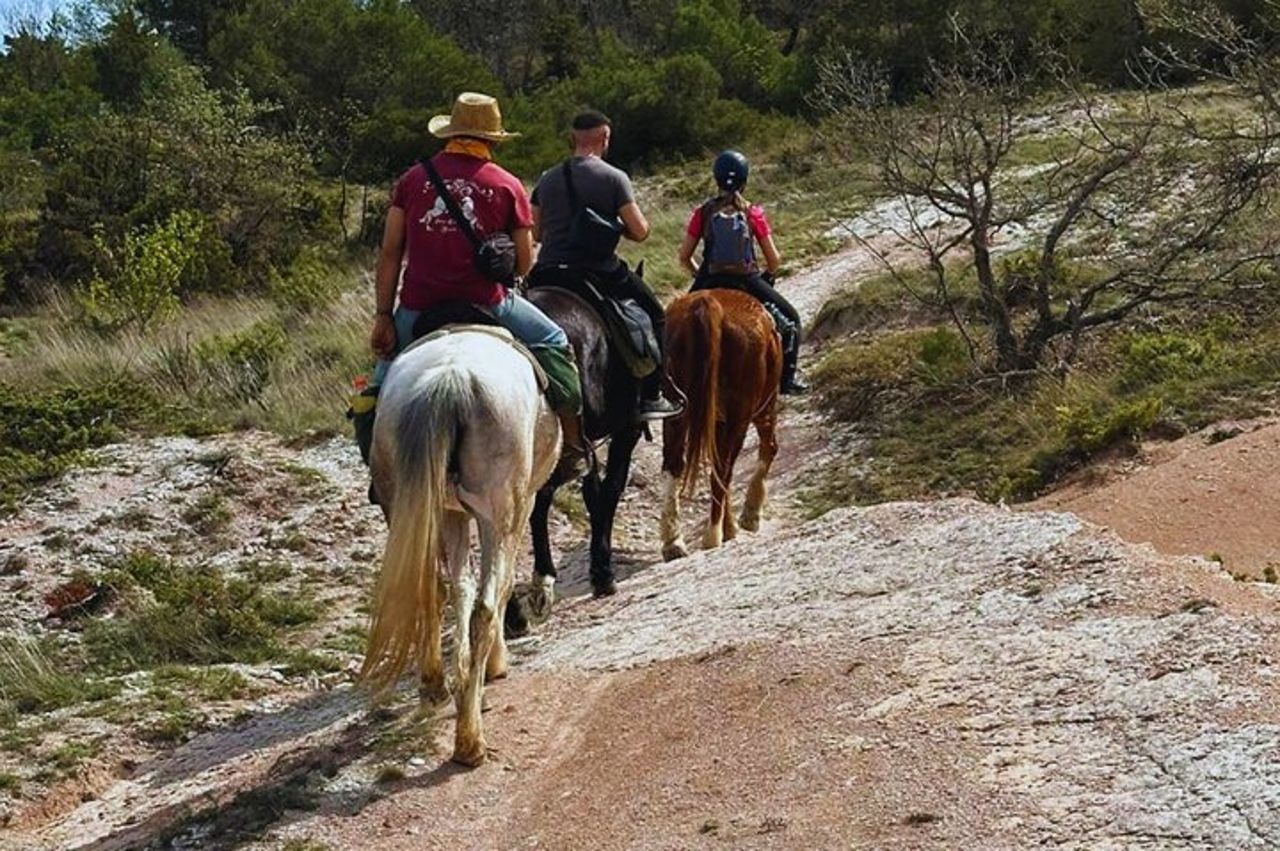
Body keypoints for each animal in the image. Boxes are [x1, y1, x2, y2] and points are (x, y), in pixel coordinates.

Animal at [361, 329, 561, 767]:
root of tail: (448, 380)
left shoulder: (451, 514)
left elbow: (459, 586)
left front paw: (464, 672)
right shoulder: (520, 507)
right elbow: (496, 589)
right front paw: (491, 667)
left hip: (409, 505)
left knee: (427, 588)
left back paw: (436, 686)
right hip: (500, 511)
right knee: (486, 605)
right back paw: (469, 739)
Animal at [660, 288, 782, 559]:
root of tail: (708, 305)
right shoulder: (763, 409)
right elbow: (768, 449)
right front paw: (748, 515)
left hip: (676, 412)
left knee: (674, 464)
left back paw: (673, 542)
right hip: (741, 416)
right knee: (722, 469)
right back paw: (712, 535)